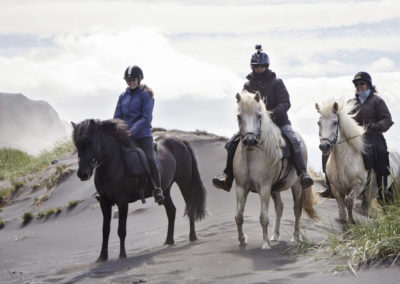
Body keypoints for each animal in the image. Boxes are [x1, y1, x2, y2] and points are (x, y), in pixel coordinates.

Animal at [71, 118, 206, 262]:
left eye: (90, 142)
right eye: (77, 145)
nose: (82, 174)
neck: (113, 164)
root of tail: (181, 142)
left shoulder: (122, 202)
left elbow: (121, 230)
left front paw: (122, 255)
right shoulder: (104, 203)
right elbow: (105, 230)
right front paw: (102, 257)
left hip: (184, 182)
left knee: (190, 207)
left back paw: (192, 237)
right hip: (166, 189)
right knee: (171, 211)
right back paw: (169, 240)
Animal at [233, 90, 318, 250]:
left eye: (259, 115)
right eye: (239, 116)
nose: (249, 141)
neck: (251, 156)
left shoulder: (264, 188)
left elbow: (263, 217)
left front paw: (265, 244)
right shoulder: (241, 187)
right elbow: (239, 216)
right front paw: (242, 240)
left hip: (296, 186)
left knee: (297, 209)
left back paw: (295, 238)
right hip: (275, 189)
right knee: (280, 207)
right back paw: (275, 235)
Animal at [316, 98, 400, 227]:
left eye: (335, 122)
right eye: (319, 123)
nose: (324, 146)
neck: (345, 161)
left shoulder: (358, 186)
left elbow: (349, 201)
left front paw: (352, 221)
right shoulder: (336, 189)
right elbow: (341, 210)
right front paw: (345, 220)